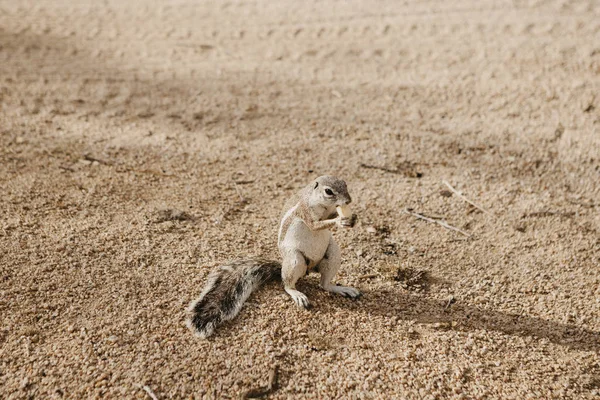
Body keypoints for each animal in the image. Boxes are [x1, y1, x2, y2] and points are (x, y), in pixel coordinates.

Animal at [186, 175, 360, 338]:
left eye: (345, 184)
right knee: (287, 285)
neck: (321, 203)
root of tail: (309, 269)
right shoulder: (305, 211)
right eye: (328, 191)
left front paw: (353, 218)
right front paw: (339, 221)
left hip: (333, 253)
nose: (349, 200)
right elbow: (315, 225)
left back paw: (343, 289)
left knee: (324, 285)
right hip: (295, 260)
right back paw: (297, 294)